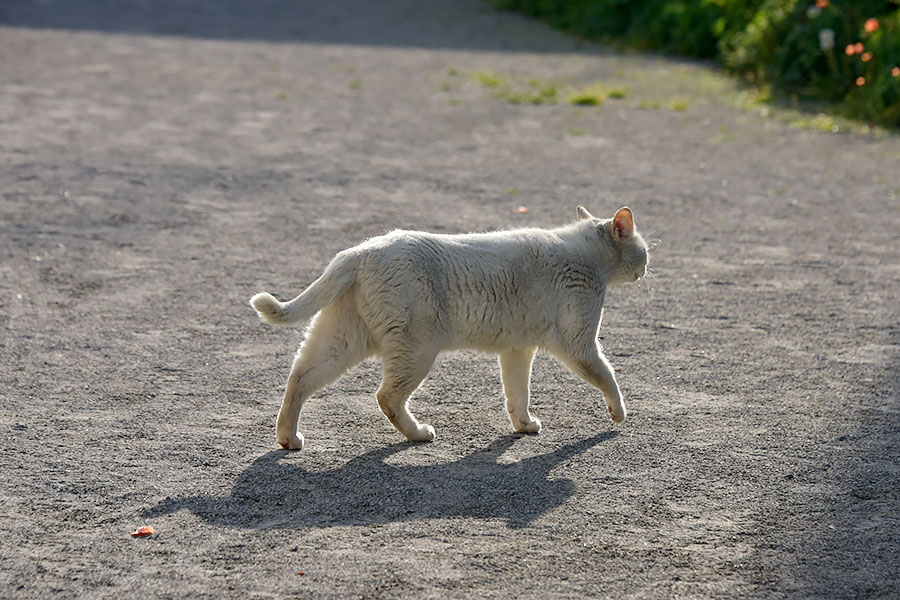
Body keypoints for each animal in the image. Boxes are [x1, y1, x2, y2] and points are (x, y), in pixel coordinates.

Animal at [250, 204, 652, 448]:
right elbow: (607, 376)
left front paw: (523, 425)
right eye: (645, 252)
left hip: (342, 341)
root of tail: (360, 251)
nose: (646, 269)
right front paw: (619, 414)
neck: (587, 254)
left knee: (298, 379)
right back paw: (418, 433)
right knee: (386, 396)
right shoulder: (578, 344)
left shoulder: (517, 349)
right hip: (416, 350)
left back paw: (288, 438)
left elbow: (517, 394)